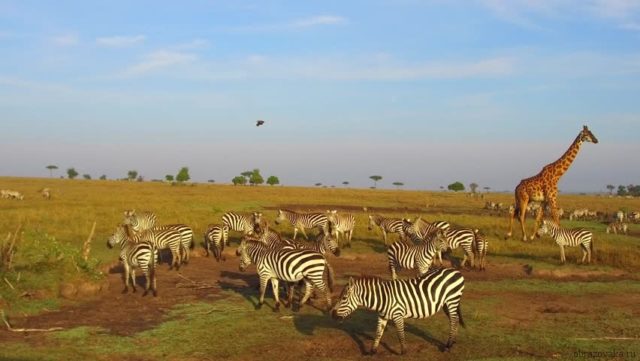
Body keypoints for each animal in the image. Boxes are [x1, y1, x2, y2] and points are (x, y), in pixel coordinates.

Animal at [330, 268, 464, 354]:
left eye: (343, 298)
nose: (332, 315)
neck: (383, 298)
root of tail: (455, 271)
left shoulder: (398, 314)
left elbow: (400, 334)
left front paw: (403, 351)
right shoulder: (382, 316)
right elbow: (378, 333)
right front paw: (372, 351)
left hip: (452, 300)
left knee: (454, 320)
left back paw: (448, 346)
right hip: (447, 303)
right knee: (455, 320)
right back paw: (452, 342)